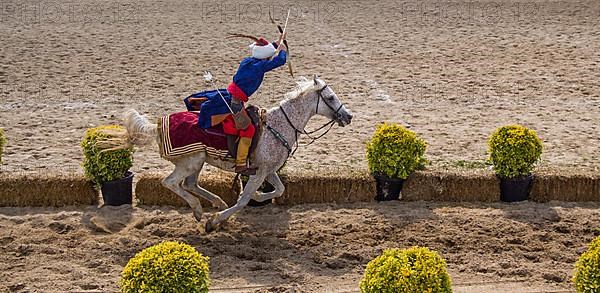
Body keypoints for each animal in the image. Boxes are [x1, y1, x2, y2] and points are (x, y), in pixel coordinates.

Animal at [124, 75, 354, 233]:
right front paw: (215, 221)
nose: (348, 116)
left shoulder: (268, 170)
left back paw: (216, 203)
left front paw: (258, 196)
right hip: (190, 162)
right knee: (170, 183)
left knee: (190, 184)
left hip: (198, 162)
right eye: (330, 97)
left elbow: (279, 189)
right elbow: (244, 201)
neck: (279, 124)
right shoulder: (259, 173)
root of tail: (158, 127)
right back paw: (198, 209)